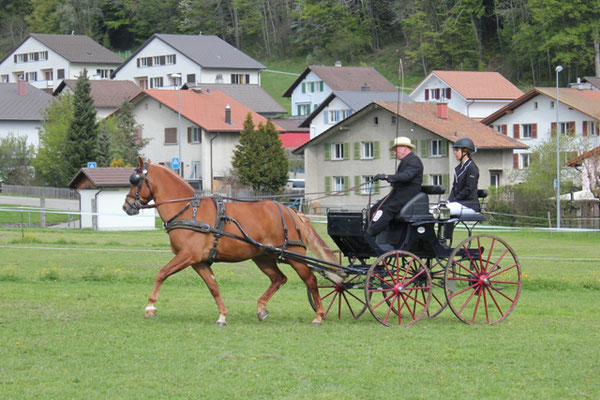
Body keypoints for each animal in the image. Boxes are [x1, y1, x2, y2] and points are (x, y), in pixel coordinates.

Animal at [122, 158, 342, 326]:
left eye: (135, 180)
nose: (126, 206)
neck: (189, 210)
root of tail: (292, 211)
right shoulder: (199, 262)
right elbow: (213, 287)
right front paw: (222, 316)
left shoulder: (187, 255)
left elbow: (162, 273)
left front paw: (150, 307)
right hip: (264, 257)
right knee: (279, 279)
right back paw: (261, 309)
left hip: (295, 255)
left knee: (311, 280)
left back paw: (319, 316)